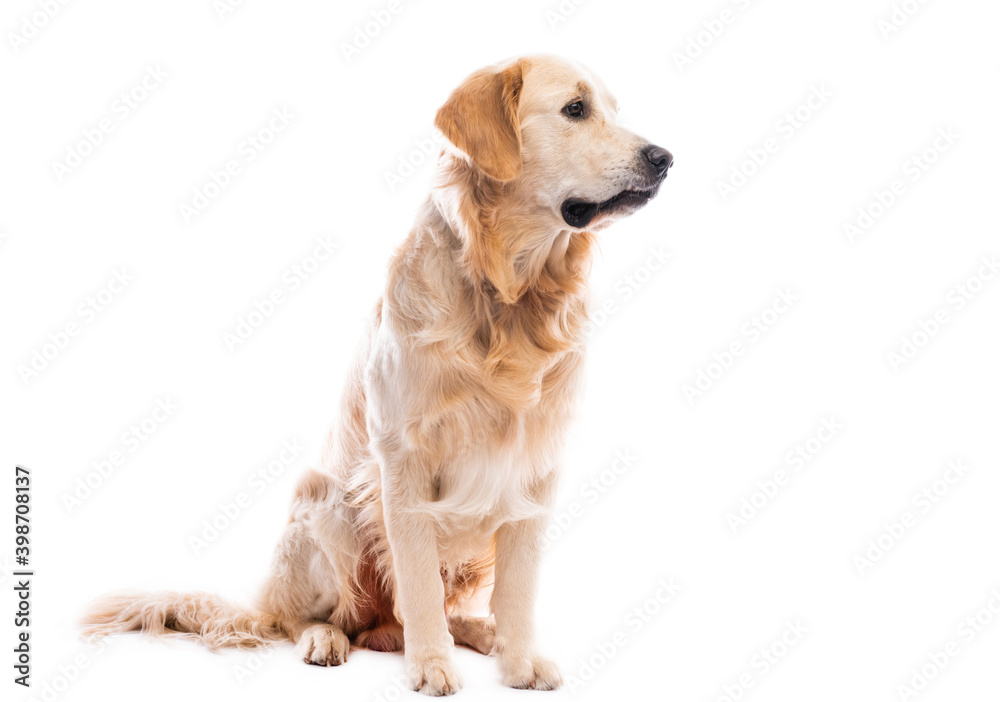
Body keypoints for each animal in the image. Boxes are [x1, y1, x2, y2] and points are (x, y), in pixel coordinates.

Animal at [80, 52, 672, 696]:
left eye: (614, 109)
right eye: (575, 109)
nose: (664, 158)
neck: (507, 294)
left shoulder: (536, 465)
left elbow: (518, 587)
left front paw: (519, 659)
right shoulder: (403, 459)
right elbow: (418, 582)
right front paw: (432, 665)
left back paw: (475, 633)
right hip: (330, 509)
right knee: (304, 618)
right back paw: (331, 638)